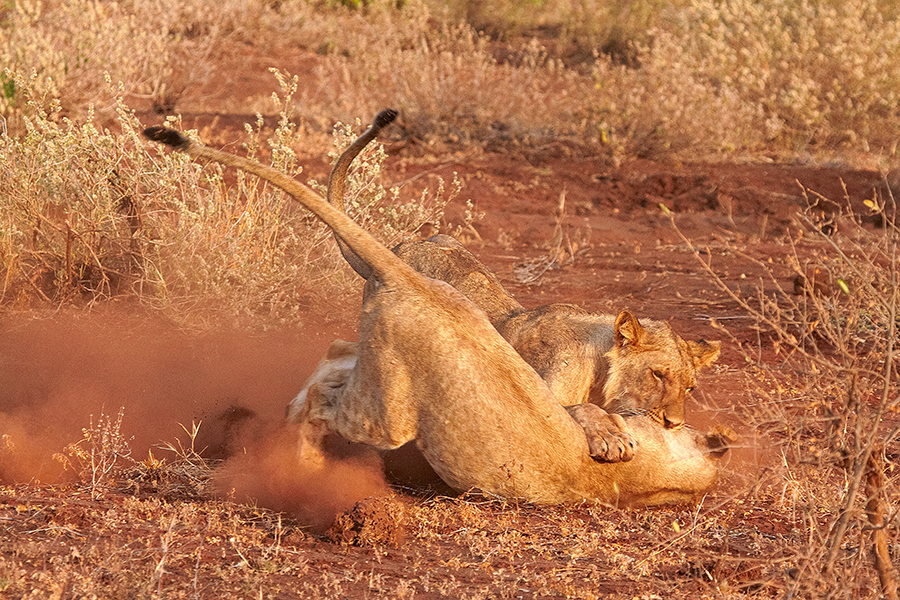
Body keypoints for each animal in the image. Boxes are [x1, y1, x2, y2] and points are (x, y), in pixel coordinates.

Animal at [324, 112, 716, 428]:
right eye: (658, 374)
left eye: (690, 387)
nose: (674, 424)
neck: (599, 371)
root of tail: (401, 246)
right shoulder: (545, 395)